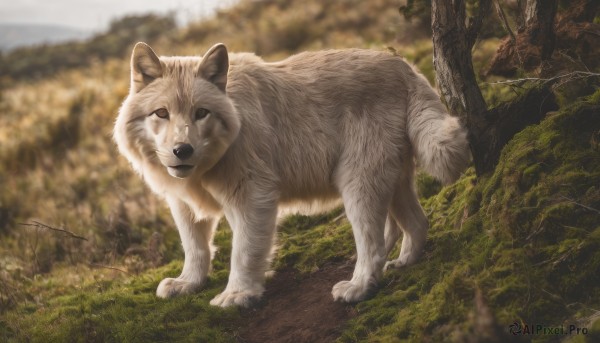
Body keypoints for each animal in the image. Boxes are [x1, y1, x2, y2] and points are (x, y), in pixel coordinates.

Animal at [112, 41, 468, 308]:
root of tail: (402, 65)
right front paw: (188, 283)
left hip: (358, 185)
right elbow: (195, 248)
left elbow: (244, 251)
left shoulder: (252, 198)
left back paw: (357, 289)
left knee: (374, 245)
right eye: (161, 113)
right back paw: (404, 263)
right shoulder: (183, 205)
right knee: (416, 222)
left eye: (201, 113)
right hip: (393, 182)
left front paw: (238, 294)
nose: (182, 151)